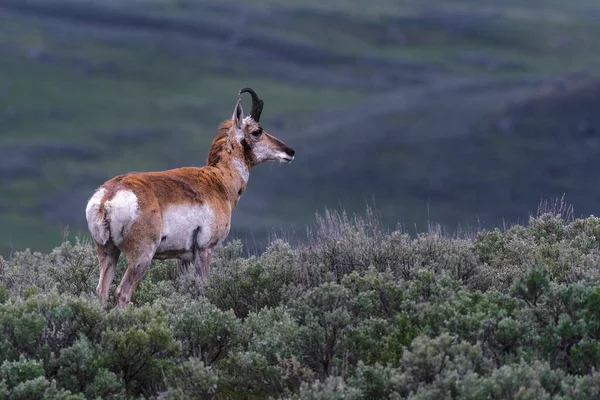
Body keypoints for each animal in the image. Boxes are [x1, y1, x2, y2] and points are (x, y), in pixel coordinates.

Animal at [86, 88, 296, 310]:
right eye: (257, 131)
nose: (290, 151)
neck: (218, 180)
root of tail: (109, 196)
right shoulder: (204, 250)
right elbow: (202, 288)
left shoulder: (183, 258)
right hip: (141, 257)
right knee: (122, 292)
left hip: (108, 252)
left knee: (102, 291)